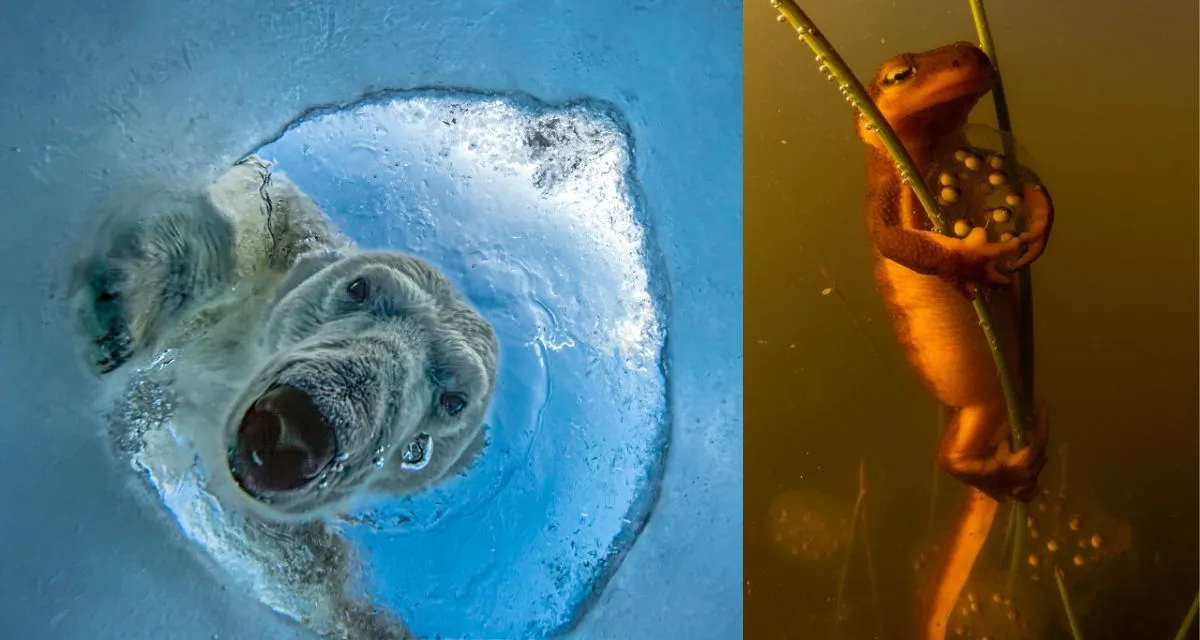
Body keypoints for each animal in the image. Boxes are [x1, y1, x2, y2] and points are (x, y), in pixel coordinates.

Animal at [68, 156, 500, 638]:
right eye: (359, 287)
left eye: (455, 399)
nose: (297, 426)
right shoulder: (274, 229)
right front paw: (120, 310)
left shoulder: (284, 543)